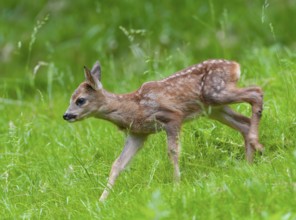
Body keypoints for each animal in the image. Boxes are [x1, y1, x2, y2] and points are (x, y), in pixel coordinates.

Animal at [63, 58, 264, 201]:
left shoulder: (172, 117)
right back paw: (249, 164)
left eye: (80, 100)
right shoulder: (138, 134)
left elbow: (173, 151)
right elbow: (117, 164)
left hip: (215, 93)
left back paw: (257, 145)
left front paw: (176, 185)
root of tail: (234, 65)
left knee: (256, 92)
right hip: (214, 109)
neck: (133, 108)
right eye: (70, 98)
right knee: (244, 122)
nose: (66, 115)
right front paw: (102, 200)